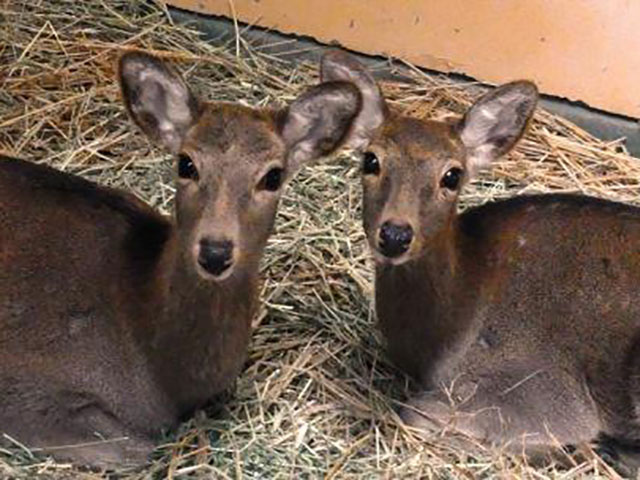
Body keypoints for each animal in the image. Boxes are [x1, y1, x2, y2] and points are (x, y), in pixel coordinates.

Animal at [322, 50, 640, 466]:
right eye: (371, 160)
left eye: (452, 175)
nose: (395, 235)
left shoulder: (549, 392)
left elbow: (413, 412)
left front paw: (569, 449)